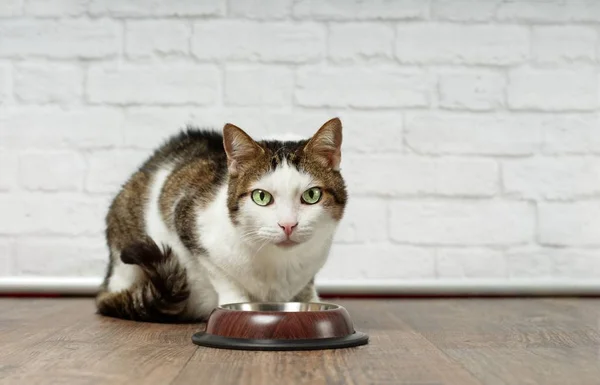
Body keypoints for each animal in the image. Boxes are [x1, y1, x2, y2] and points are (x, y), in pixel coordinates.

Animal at [94, 117, 346, 320]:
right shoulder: (189, 222)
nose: (288, 225)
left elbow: (307, 287)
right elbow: (223, 276)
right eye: (261, 196)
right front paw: (236, 306)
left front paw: (312, 301)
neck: (280, 263)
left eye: (311, 195)